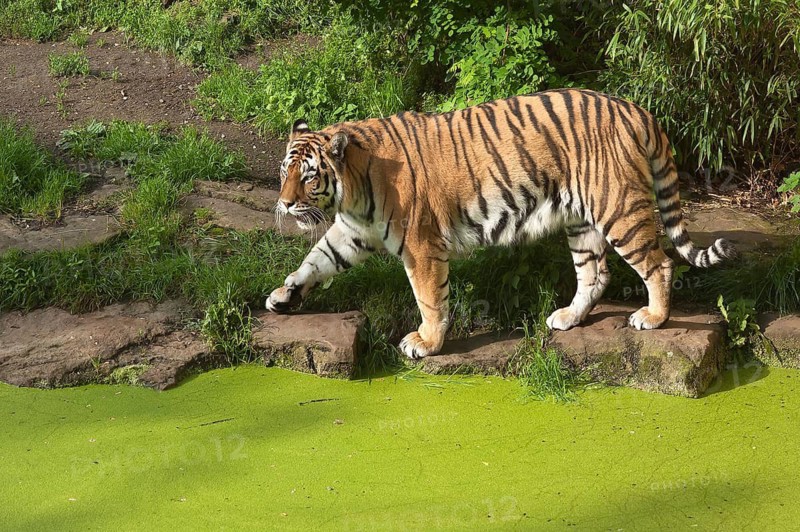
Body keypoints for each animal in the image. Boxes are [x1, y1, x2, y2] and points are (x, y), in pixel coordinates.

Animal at [266, 88, 735, 359]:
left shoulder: (420, 246)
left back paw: (652, 317)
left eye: (308, 176)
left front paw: (426, 343)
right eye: (285, 170)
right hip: (581, 221)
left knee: (660, 263)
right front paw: (284, 296)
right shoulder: (351, 232)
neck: (354, 190)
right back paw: (568, 316)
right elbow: (316, 260)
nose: (284, 204)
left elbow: (429, 298)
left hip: (618, 208)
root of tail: (637, 110)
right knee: (595, 273)